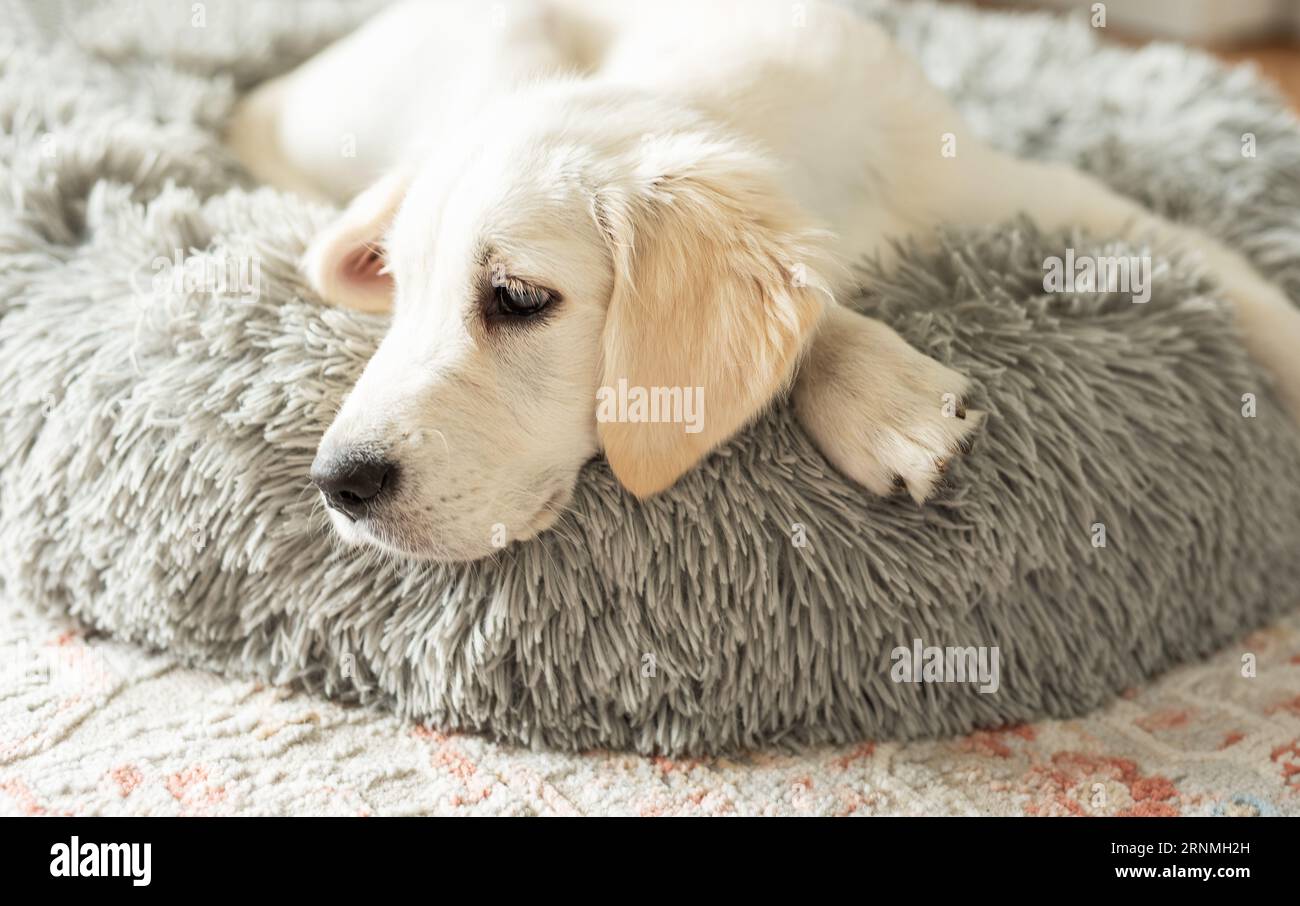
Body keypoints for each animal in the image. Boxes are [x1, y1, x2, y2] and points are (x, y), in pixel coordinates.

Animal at [226, 0, 1300, 561]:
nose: (337, 485)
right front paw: (886, 401)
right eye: (399, 292)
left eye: (519, 299)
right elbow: (817, 309)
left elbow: (1216, 265)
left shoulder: (1016, 188)